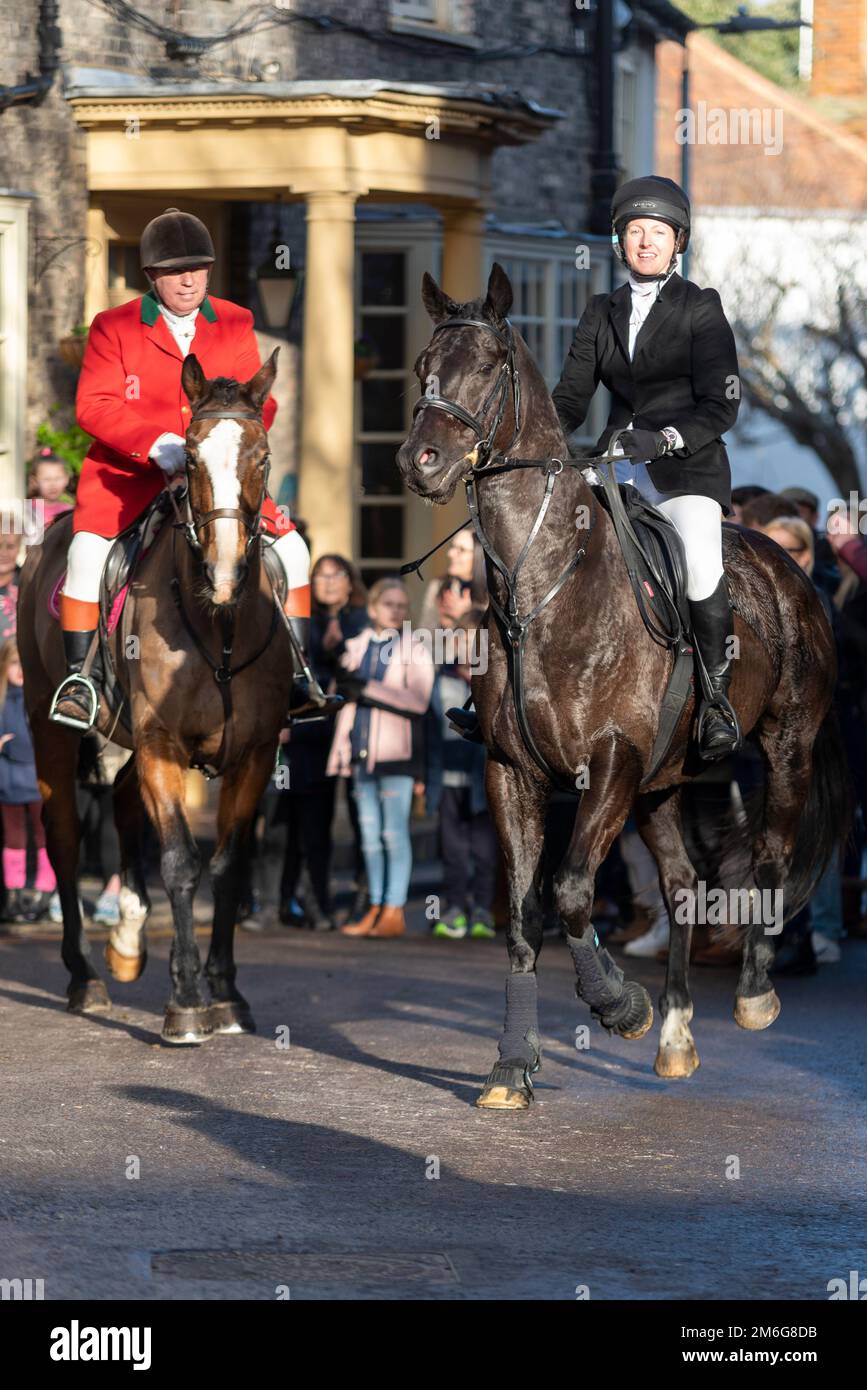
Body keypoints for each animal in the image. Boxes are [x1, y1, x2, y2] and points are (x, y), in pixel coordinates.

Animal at [18, 351, 297, 1044]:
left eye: (262, 457)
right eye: (190, 456)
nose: (225, 572)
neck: (219, 625)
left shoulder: (253, 753)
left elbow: (226, 867)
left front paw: (226, 991)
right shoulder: (161, 746)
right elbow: (180, 862)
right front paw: (188, 999)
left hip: (125, 744)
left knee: (122, 816)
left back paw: (127, 941)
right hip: (50, 730)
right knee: (65, 839)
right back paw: (85, 977)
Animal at [397, 262, 848, 1109]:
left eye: (491, 367)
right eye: (419, 368)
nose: (421, 462)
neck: (545, 588)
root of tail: (785, 565)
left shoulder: (608, 763)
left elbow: (572, 891)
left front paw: (617, 1005)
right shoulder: (512, 771)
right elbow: (524, 916)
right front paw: (512, 1065)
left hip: (784, 749)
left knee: (768, 856)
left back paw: (751, 995)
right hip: (664, 781)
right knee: (680, 883)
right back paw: (675, 1034)